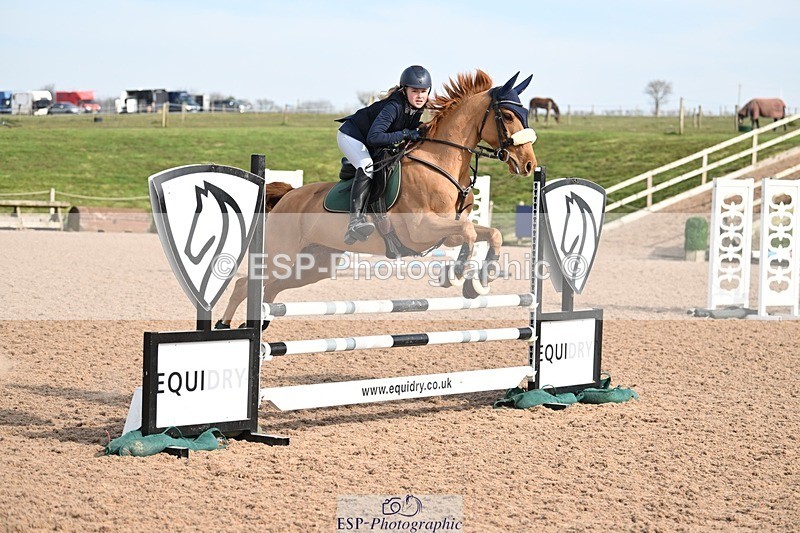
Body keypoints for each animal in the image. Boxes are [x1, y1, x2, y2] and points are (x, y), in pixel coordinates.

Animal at [216, 70, 538, 329]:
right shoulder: (421, 229)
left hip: (313, 264)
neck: (440, 163)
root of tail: (288, 196)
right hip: (279, 255)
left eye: (525, 114)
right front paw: (457, 275)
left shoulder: (444, 233)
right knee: (246, 284)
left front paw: (480, 281)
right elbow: (470, 232)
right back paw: (224, 325)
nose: (529, 165)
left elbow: (491, 233)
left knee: (271, 290)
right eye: (508, 116)